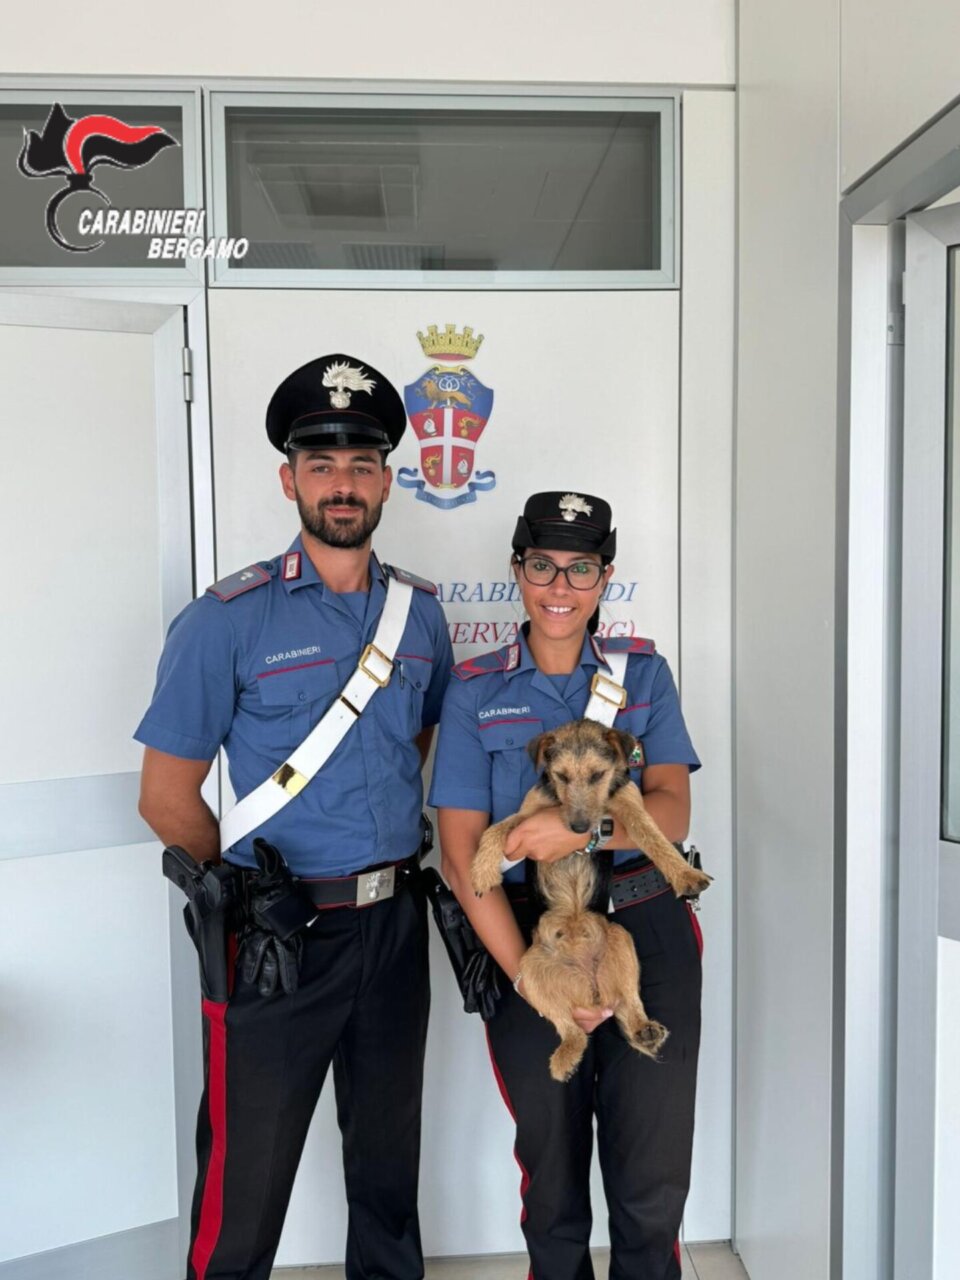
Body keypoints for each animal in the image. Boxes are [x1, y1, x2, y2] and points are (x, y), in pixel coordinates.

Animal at [473, 721, 716, 1080]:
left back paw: (644, 1030)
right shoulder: (528, 812)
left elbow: (654, 838)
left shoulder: (632, 806)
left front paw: (683, 873)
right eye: (560, 776)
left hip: (621, 941)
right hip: (530, 969)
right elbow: (497, 828)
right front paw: (480, 870)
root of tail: (591, 992)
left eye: (598, 774)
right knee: (570, 1027)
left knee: (629, 1002)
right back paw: (565, 1058)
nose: (578, 827)